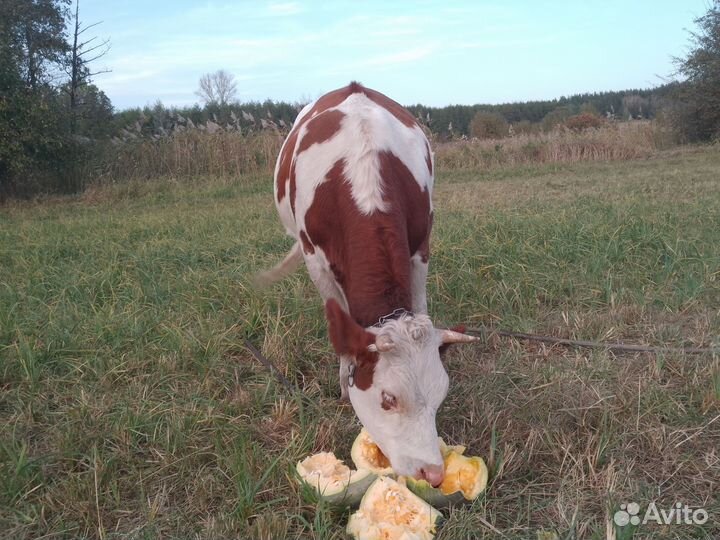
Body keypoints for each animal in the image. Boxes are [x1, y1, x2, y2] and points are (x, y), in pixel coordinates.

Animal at [256, 82, 476, 488]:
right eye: (388, 399)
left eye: (441, 394)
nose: (434, 473)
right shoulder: (315, 259)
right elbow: (341, 328)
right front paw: (345, 386)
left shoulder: (420, 246)